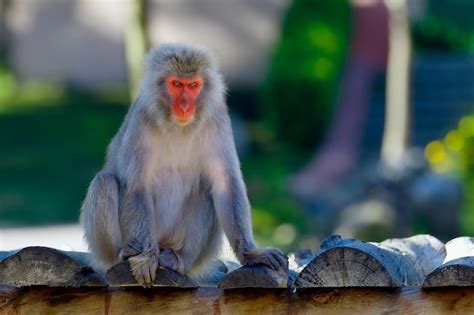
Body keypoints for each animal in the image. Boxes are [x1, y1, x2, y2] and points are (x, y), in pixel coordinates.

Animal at [80, 42, 286, 286]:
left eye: (193, 85)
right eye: (176, 84)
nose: (186, 106)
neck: (178, 126)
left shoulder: (217, 119)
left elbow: (225, 184)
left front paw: (252, 254)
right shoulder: (141, 119)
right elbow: (137, 186)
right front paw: (146, 257)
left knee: (206, 192)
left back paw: (177, 260)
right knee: (104, 182)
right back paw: (125, 253)